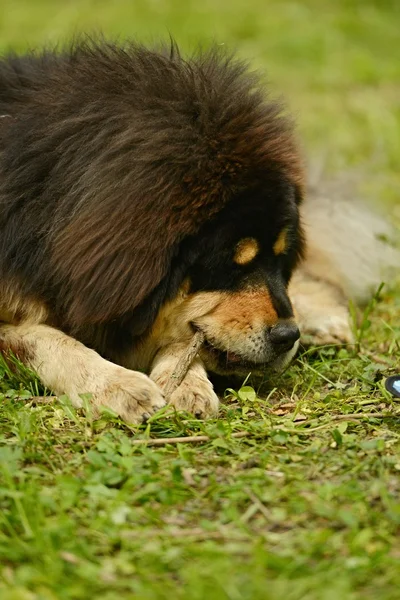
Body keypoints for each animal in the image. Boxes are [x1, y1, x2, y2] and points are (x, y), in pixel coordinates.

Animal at [0, 38, 396, 422]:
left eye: (279, 260)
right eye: (231, 266)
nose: (287, 335)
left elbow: (182, 330)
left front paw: (185, 384)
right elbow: (42, 338)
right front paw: (118, 385)